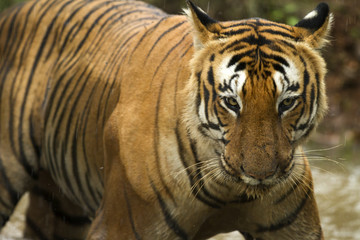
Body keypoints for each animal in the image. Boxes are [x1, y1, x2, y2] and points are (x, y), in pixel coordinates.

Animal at [0, 0, 332, 239]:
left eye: (286, 102)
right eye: (231, 102)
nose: (260, 174)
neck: (230, 191)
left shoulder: (292, 229)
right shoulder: (122, 227)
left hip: (61, 207)